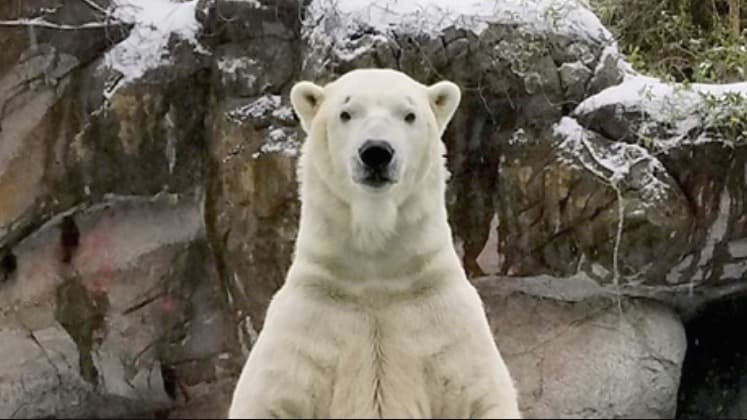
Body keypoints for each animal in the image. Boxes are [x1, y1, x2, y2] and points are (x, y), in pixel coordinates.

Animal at [227, 68, 521, 419]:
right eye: (346, 112)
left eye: (409, 114)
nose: (376, 152)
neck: (375, 273)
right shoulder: (307, 327)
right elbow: (270, 398)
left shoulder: (445, 324)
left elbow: (479, 394)